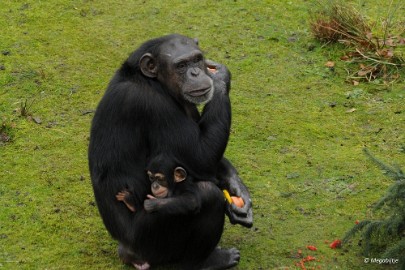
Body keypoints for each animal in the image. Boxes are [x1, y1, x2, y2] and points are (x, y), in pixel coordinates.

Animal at [89, 33, 252, 268]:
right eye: (181, 65)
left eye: (196, 59)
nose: (196, 72)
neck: (155, 82)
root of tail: (128, 253)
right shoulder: (152, 105)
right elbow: (201, 157)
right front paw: (220, 76)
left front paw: (240, 195)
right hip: (152, 243)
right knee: (208, 195)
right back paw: (211, 261)